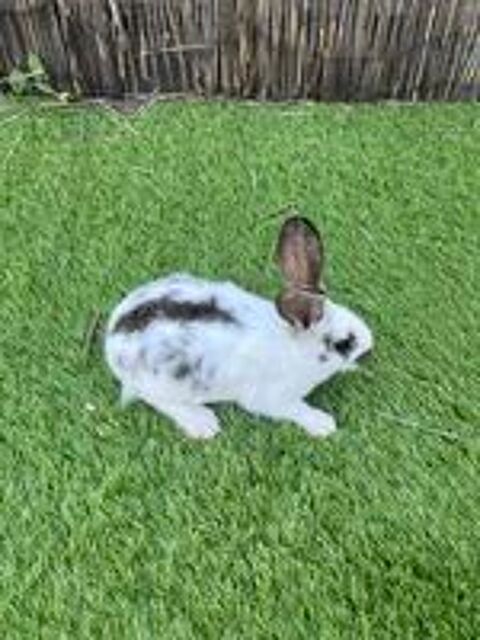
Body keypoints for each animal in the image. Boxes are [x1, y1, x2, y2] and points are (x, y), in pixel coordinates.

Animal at [104, 214, 373, 440]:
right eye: (344, 343)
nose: (370, 348)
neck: (293, 347)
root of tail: (112, 338)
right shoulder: (273, 399)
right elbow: (296, 409)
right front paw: (323, 424)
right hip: (163, 386)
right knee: (155, 400)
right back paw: (203, 423)